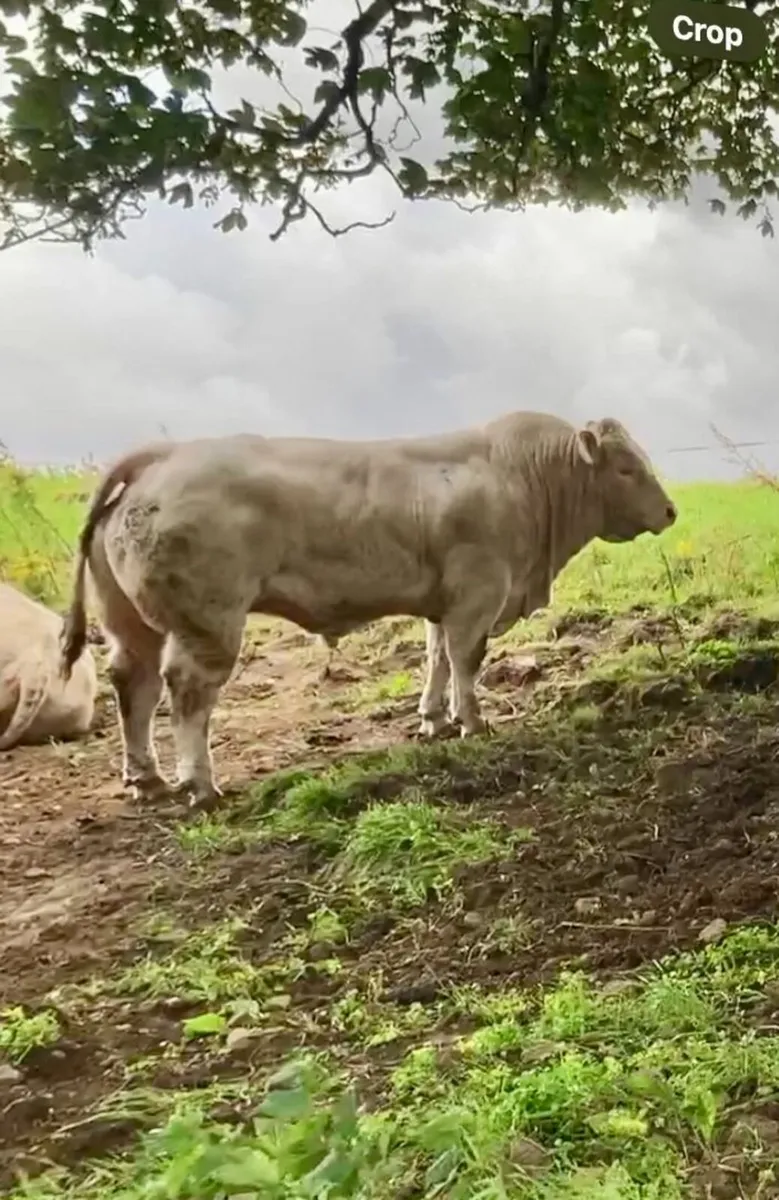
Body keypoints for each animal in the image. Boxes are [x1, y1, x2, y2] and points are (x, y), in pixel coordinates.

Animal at [58, 413, 676, 807]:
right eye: (626, 468)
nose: (670, 511)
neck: (522, 477)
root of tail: (163, 456)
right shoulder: (479, 593)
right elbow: (466, 661)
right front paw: (473, 722)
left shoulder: (444, 602)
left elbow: (437, 659)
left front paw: (433, 720)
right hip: (209, 623)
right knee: (186, 694)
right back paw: (200, 785)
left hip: (131, 624)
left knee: (133, 686)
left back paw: (147, 778)